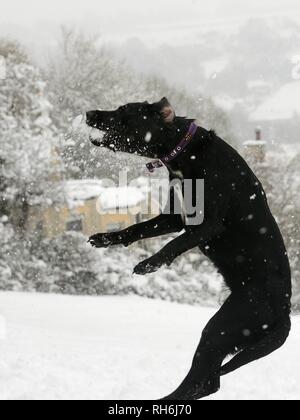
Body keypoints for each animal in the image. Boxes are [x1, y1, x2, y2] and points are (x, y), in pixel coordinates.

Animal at [85, 98, 292, 400]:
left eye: (124, 111)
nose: (89, 113)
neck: (187, 153)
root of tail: (285, 312)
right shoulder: (174, 217)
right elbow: (136, 229)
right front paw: (106, 238)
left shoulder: (208, 223)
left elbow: (174, 243)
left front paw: (149, 264)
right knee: (208, 381)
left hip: (224, 327)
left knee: (203, 380)